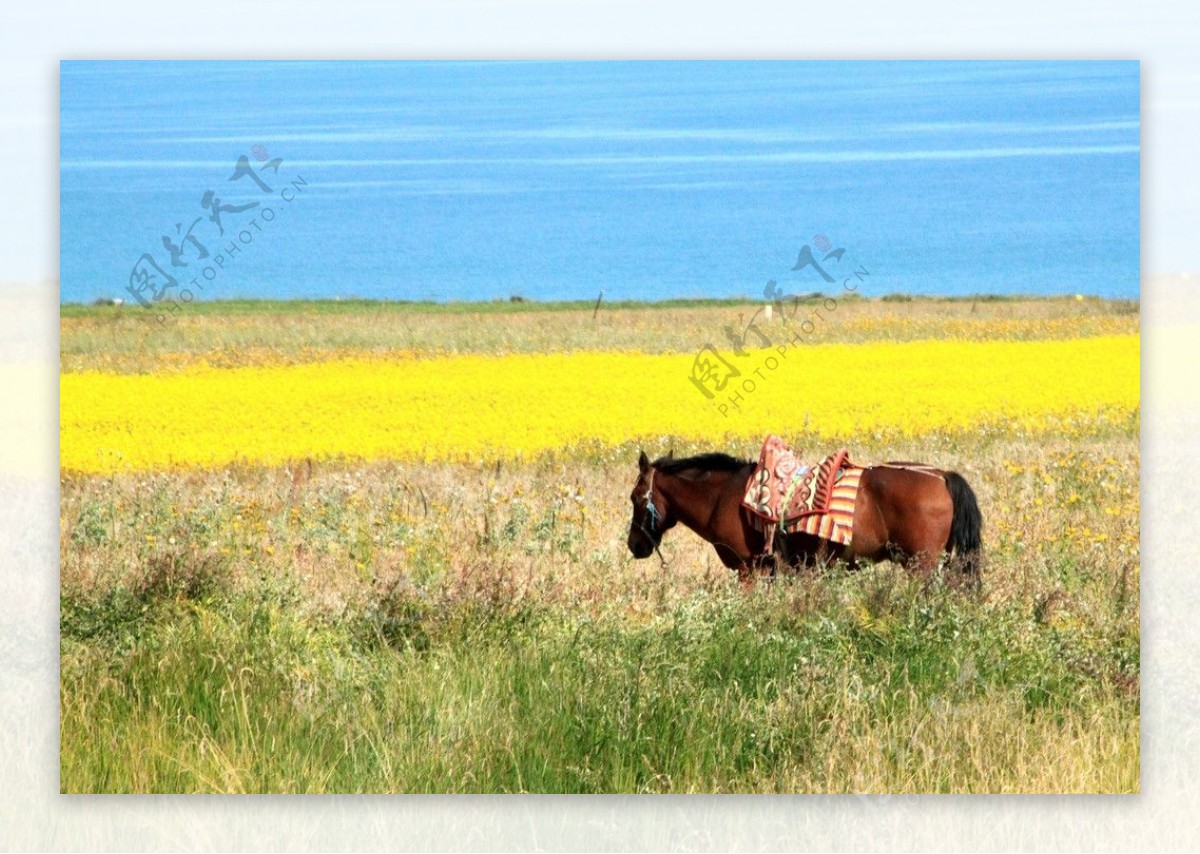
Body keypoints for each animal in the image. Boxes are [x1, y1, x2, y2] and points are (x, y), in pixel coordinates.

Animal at [624, 450, 979, 582]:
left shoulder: (748, 569)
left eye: (635, 498)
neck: (723, 496)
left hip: (921, 564)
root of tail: (940, 476)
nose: (634, 545)